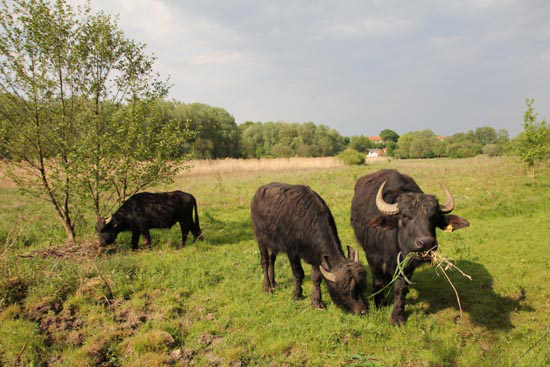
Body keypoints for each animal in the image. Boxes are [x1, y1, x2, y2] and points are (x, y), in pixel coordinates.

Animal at [253, 183, 370, 314]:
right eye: (345, 290)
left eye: (362, 287)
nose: (363, 311)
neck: (306, 222)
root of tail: (258, 193)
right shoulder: (292, 252)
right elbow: (298, 273)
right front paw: (297, 295)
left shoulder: (317, 256)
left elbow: (316, 278)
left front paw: (316, 302)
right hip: (260, 238)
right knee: (265, 261)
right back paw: (267, 287)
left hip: (273, 243)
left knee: (272, 259)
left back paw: (273, 283)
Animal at [354, 170, 470, 324]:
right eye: (404, 216)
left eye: (434, 217)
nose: (426, 243)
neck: (395, 245)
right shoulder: (372, 255)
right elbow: (378, 282)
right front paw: (380, 304)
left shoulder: (409, 263)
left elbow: (401, 288)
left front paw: (397, 316)